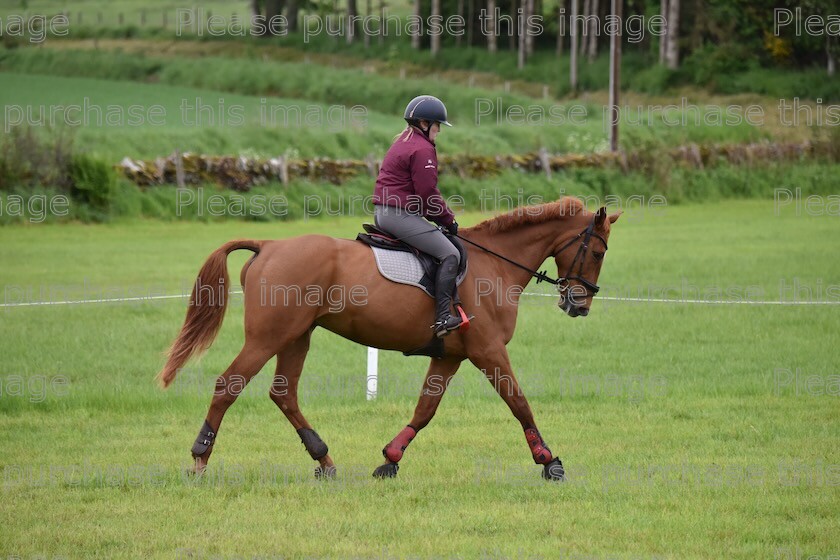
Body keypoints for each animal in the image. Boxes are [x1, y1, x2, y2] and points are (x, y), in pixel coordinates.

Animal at [158, 197, 620, 482]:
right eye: (598, 253)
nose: (579, 305)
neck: (495, 263)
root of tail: (268, 245)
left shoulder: (450, 356)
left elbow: (425, 409)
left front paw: (390, 461)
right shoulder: (488, 351)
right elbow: (519, 402)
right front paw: (549, 461)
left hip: (296, 336)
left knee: (283, 394)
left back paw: (324, 459)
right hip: (269, 336)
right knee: (229, 384)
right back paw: (200, 459)